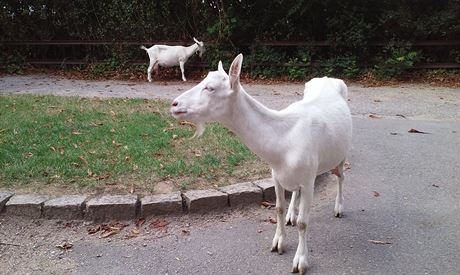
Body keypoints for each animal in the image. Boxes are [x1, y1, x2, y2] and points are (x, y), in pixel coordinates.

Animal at [171, 54, 354, 274]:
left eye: (210, 88)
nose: (174, 104)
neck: (283, 144)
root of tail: (328, 78)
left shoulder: (309, 178)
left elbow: (303, 223)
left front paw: (300, 261)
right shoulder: (275, 174)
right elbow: (278, 208)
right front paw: (278, 243)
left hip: (342, 153)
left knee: (341, 176)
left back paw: (338, 208)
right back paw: (292, 215)